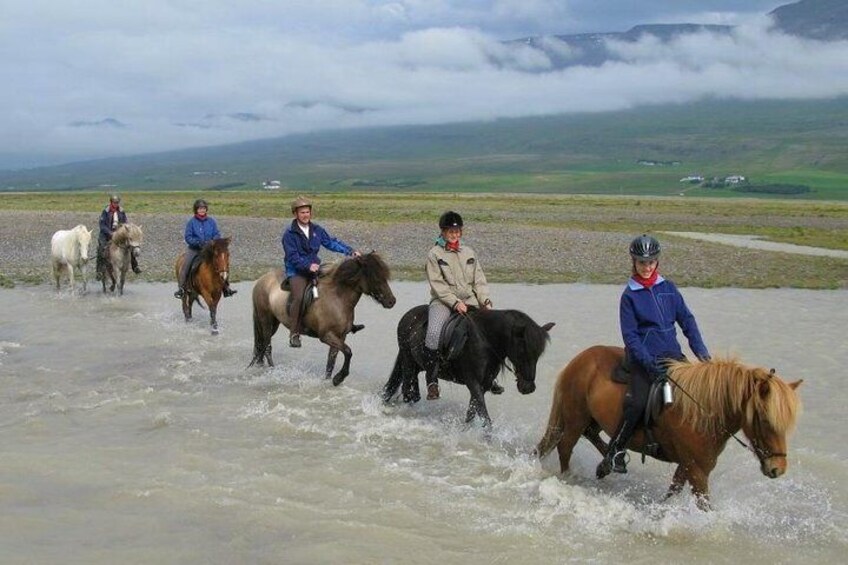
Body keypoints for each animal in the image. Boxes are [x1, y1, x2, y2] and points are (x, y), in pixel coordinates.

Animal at [248, 253, 398, 386]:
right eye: (375, 278)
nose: (392, 301)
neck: (338, 298)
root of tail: (261, 280)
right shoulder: (326, 336)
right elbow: (348, 352)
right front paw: (339, 378)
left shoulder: (340, 336)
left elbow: (331, 360)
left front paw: (329, 380)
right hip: (265, 320)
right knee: (267, 346)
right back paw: (272, 370)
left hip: (274, 323)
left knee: (262, 345)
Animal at [382, 306, 556, 426]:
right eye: (522, 351)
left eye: (538, 354)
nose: (528, 388)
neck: (486, 339)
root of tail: (407, 316)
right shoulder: (473, 383)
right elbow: (485, 418)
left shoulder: (483, 385)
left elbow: (471, 412)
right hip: (408, 363)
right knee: (408, 392)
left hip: (416, 365)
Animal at [536, 346, 800, 508]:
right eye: (765, 420)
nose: (778, 468)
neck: (702, 410)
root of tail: (579, 359)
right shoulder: (697, 470)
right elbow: (704, 505)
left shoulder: (688, 464)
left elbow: (673, 490)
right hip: (575, 419)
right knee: (565, 448)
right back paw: (573, 476)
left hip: (591, 420)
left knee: (591, 435)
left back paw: (609, 461)